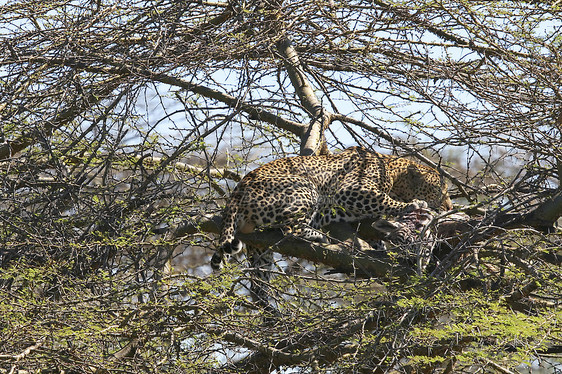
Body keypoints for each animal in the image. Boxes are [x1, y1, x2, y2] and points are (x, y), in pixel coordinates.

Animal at [210, 145, 450, 270]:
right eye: (440, 191)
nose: (449, 205)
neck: (392, 170)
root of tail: (237, 191)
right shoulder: (351, 189)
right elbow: (382, 200)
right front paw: (410, 205)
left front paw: (379, 244)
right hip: (306, 187)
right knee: (289, 228)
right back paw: (317, 235)